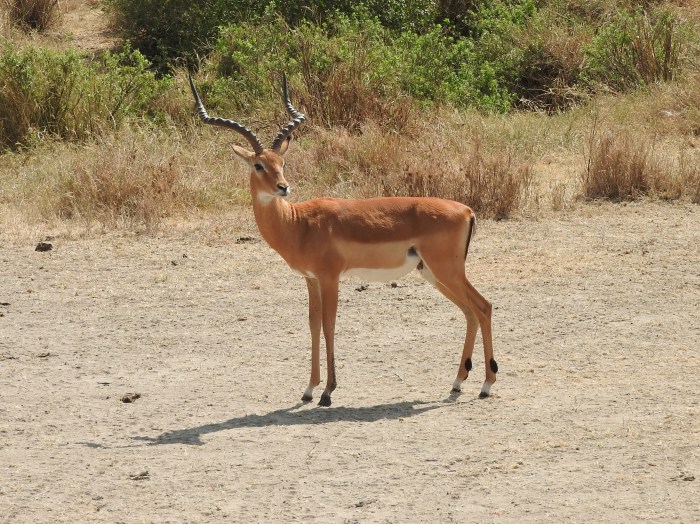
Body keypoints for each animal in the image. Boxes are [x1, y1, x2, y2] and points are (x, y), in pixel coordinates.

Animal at [189, 73, 498, 406]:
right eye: (259, 165)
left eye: (281, 163)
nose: (284, 187)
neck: (298, 223)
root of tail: (466, 210)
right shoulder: (311, 279)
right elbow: (313, 325)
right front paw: (309, 389)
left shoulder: (330, 277)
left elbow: (329, 325)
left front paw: (327, 392)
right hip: (433, 273)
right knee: (470, 312)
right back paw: (457, 383)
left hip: (447, 271)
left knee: (483, 306)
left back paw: (486, 385)